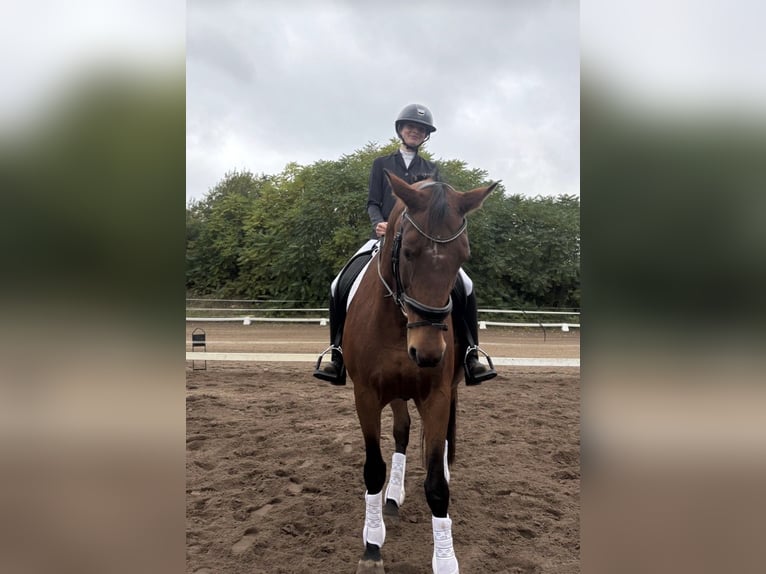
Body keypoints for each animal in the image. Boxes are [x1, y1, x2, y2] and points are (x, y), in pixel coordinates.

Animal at [343, 170, 498, 574]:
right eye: (409, 251)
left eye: (463, 256)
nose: (427, 353)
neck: (400, 323)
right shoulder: (366, 395)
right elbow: (374, 468)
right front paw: (372, 546)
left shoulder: (437, 395)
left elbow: (436, 485)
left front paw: (445, 560)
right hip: (396, 392)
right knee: (401, 432)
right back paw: (392, 499)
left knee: (436, 444)